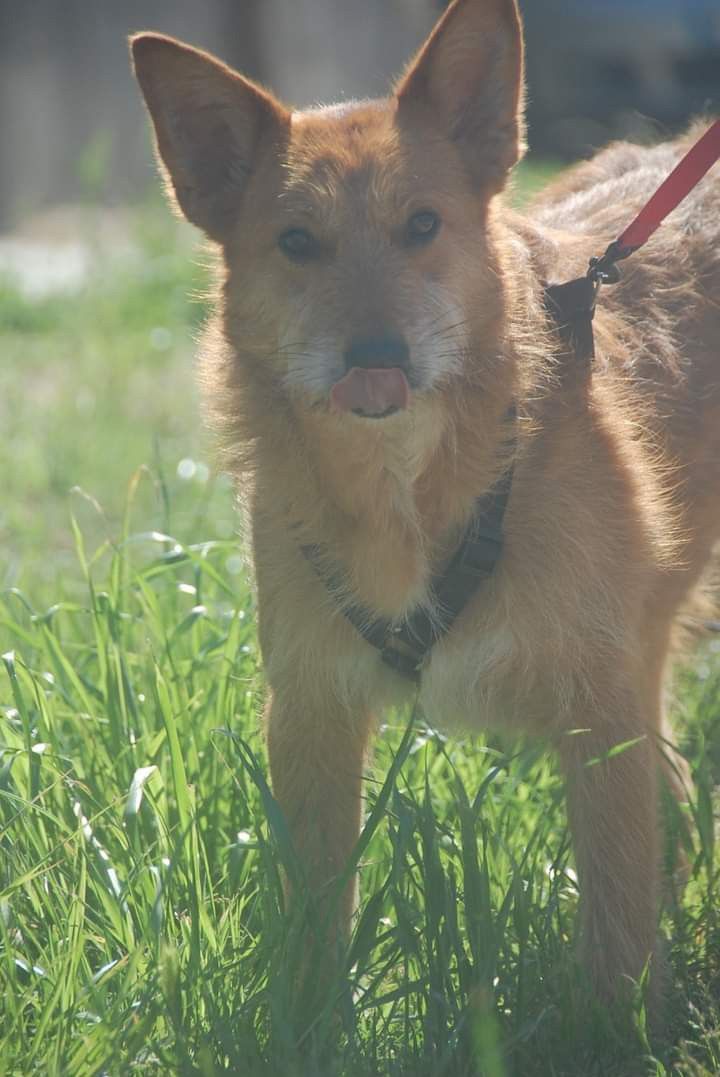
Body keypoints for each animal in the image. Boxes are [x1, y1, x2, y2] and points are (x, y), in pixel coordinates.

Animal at [130, 0, 718, 1008]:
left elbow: (617, 913)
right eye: (297, 242)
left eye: (422, 225)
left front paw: (621, 1024)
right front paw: (309, 1024)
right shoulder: (312, 712)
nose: (376, 354)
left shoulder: (601, 710)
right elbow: (313, 923)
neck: (405, 480)